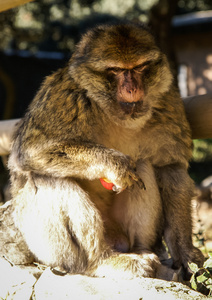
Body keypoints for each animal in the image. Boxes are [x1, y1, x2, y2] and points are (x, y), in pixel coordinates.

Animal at [7, 22, 204, 280]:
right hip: (48, 249)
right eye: (116, 70)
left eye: (140, 67)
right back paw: (101, 261)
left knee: (142, 164)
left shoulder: (167, 99)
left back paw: (142, 251)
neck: (110, 112)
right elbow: (29, 151)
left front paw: (186, 252)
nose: (132, 88)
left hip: (121, 234)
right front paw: (114, 164)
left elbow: (170, 168)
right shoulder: (64, 97)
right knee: (47, 177)